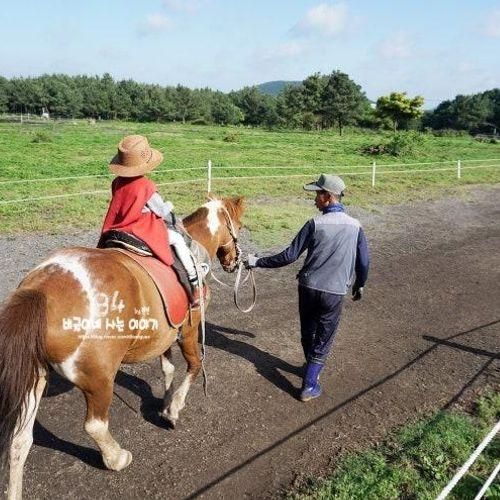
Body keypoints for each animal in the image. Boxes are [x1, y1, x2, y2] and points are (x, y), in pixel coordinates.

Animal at [0, 195, 244, 500]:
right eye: (240, 225)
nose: (236, 261)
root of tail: (41, 290)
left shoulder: (165, 335)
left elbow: (167, 369)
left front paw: (164, 401)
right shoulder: (188, 331)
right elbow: (194, 366)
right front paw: (173, 409)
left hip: (36, 378)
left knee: (19, 441)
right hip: (99, 380)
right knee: (95, 425)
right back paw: (117, 457)